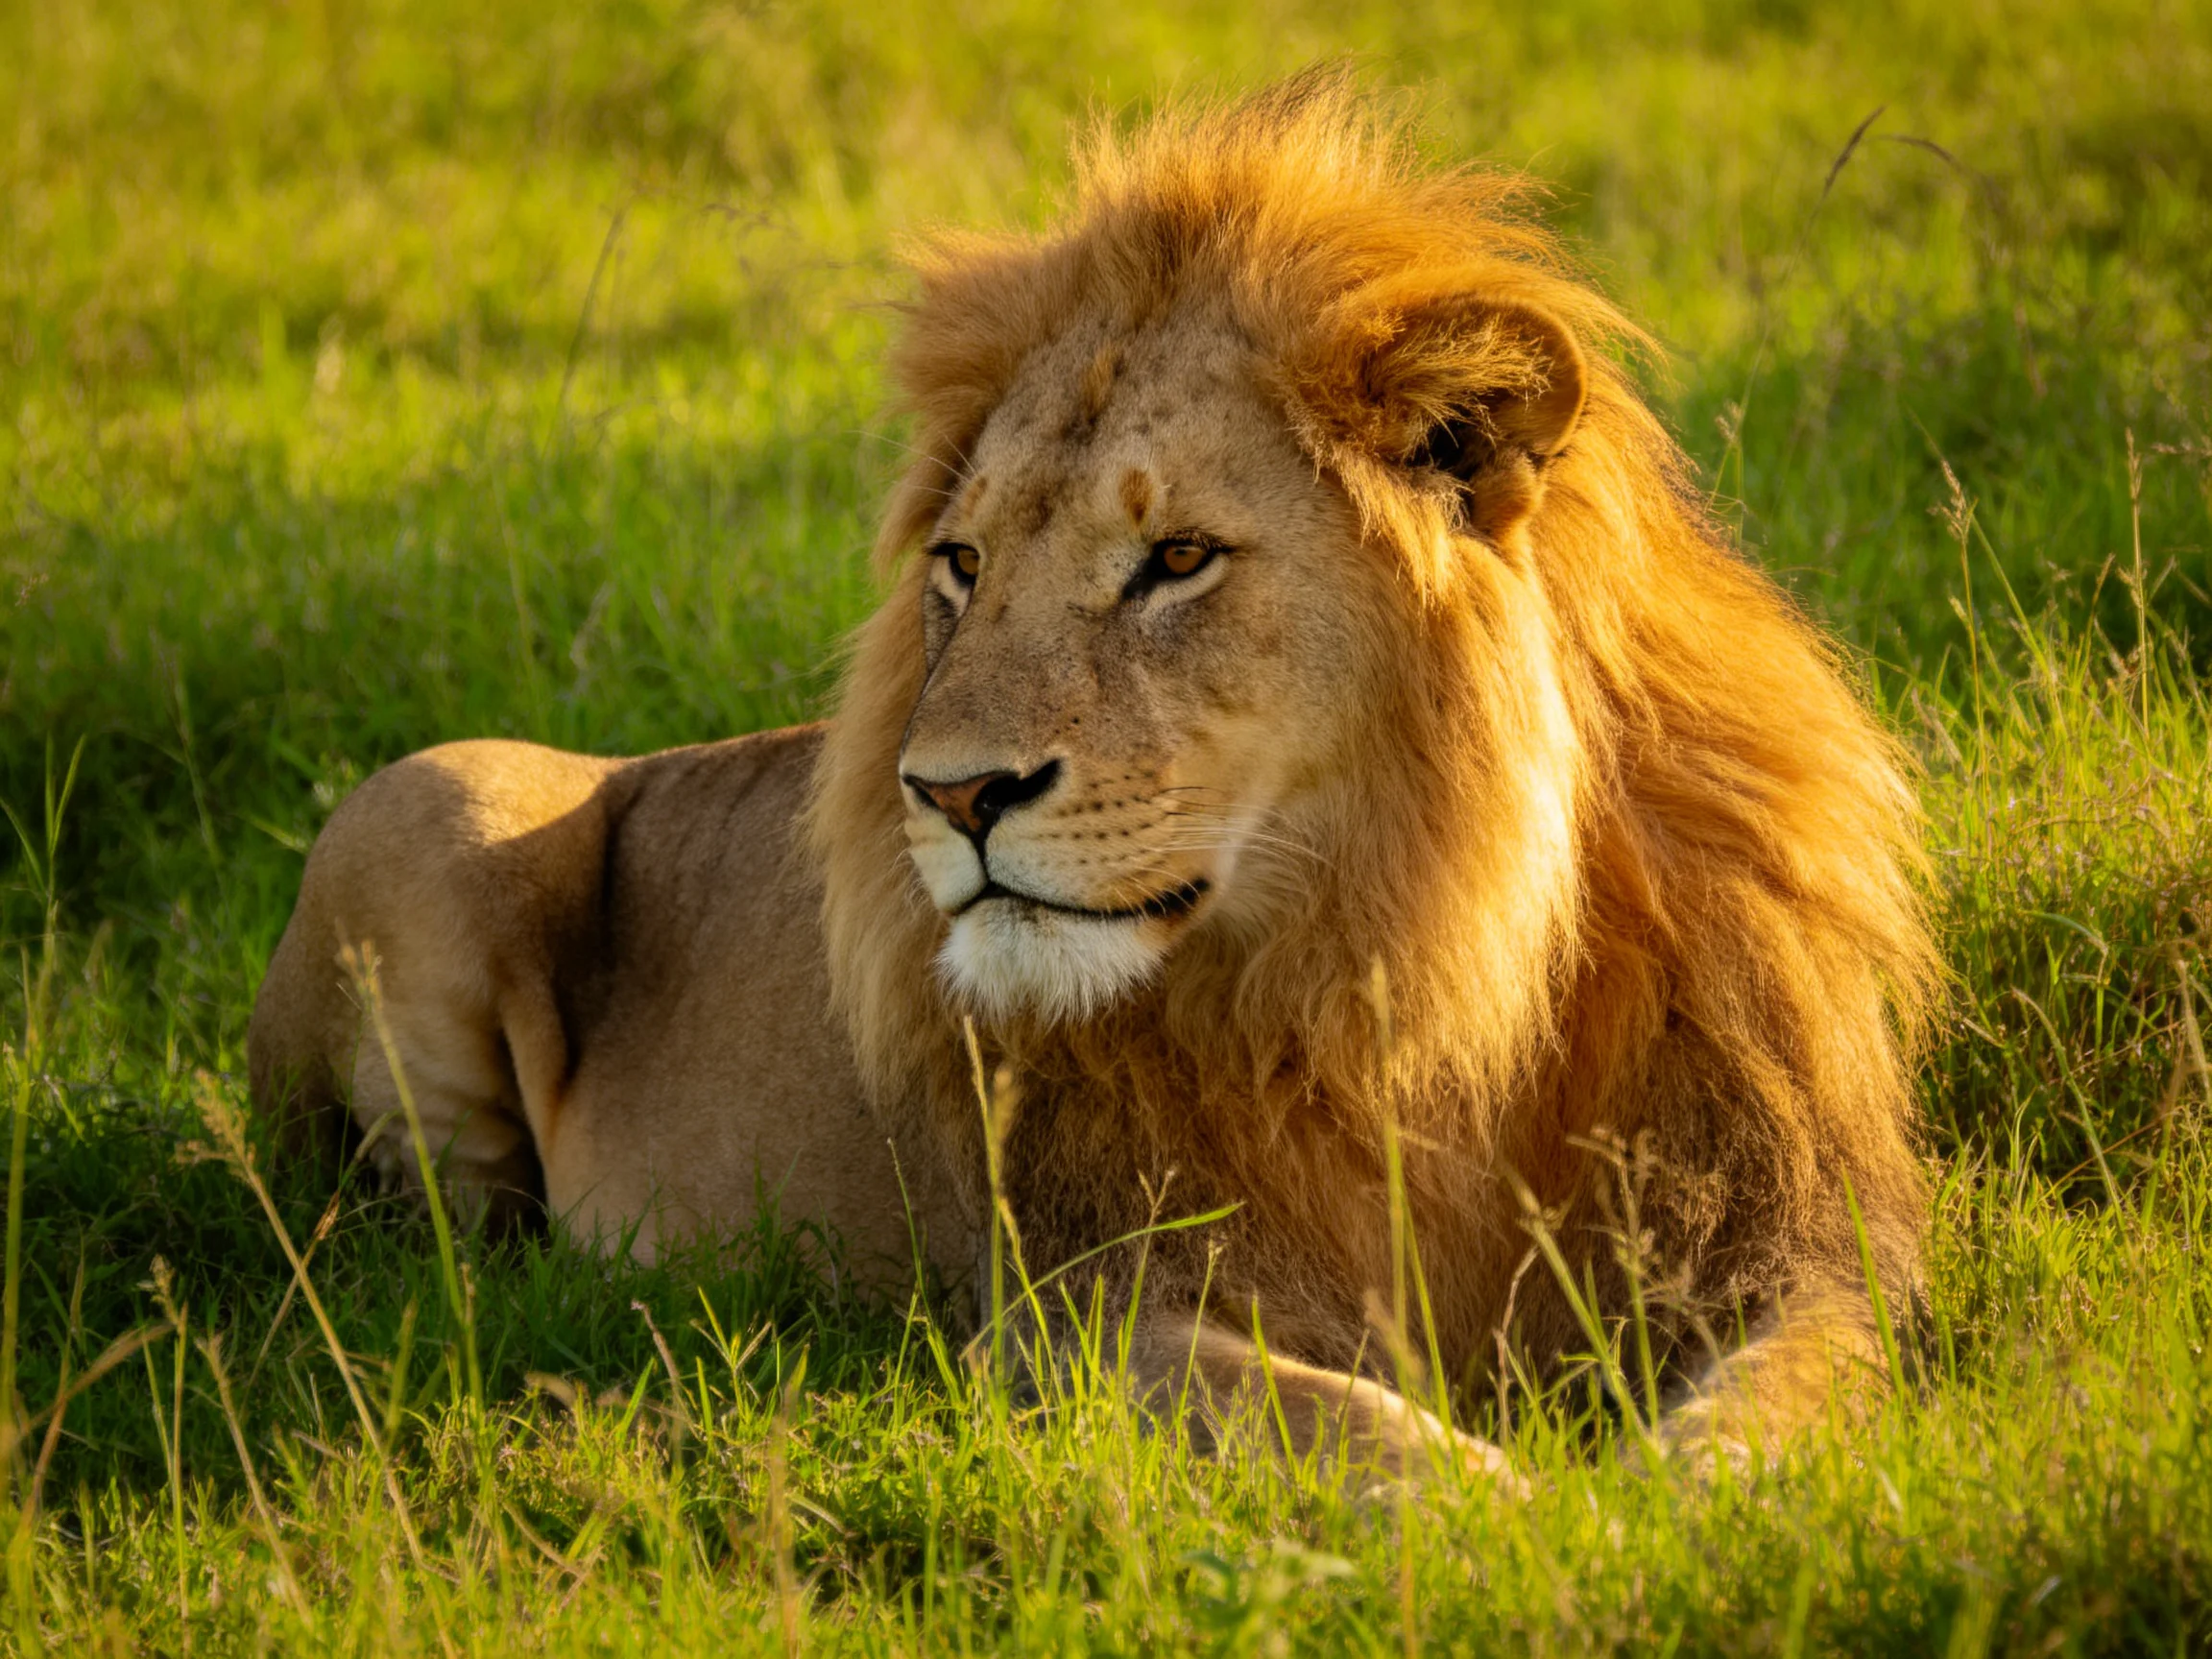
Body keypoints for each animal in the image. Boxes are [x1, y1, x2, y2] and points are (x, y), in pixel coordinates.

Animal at [250, 74, 1938, 1480]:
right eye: (964, 565)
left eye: (1176, 559)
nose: (951, 796)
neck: (1410, 956)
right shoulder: (1072, 1312)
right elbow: (1337, 1422)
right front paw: (1528, 1518)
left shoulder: (1794, 1242)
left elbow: (1781, 1401)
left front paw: (1669, 1511)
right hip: (431, 799)